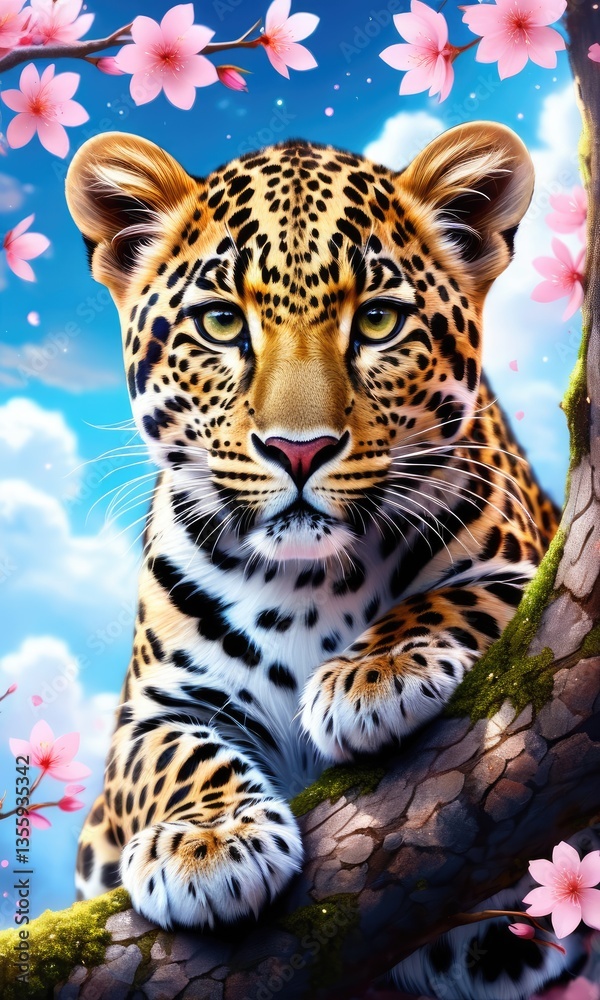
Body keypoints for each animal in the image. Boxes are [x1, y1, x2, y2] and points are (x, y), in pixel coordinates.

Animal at [65, 122, 564, 997]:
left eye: (379, 321)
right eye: (221, 324)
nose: (299, 450)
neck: (305, 580)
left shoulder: (531, 571)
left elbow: (455, 596)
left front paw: (375, 673)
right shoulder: (147, 715)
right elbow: (171, 756)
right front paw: (209, 843)